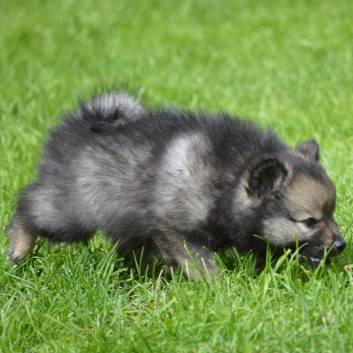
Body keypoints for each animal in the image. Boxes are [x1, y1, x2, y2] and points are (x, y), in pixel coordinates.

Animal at [6, 91, 346, 278]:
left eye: (331, 214)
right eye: (310, 221)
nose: (342, 245)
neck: (227, 179)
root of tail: (78, 125)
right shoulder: (173, 229)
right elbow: (204, 265)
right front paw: (221, 289)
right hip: (72, 213)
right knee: (29, 205)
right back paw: (18, 249)